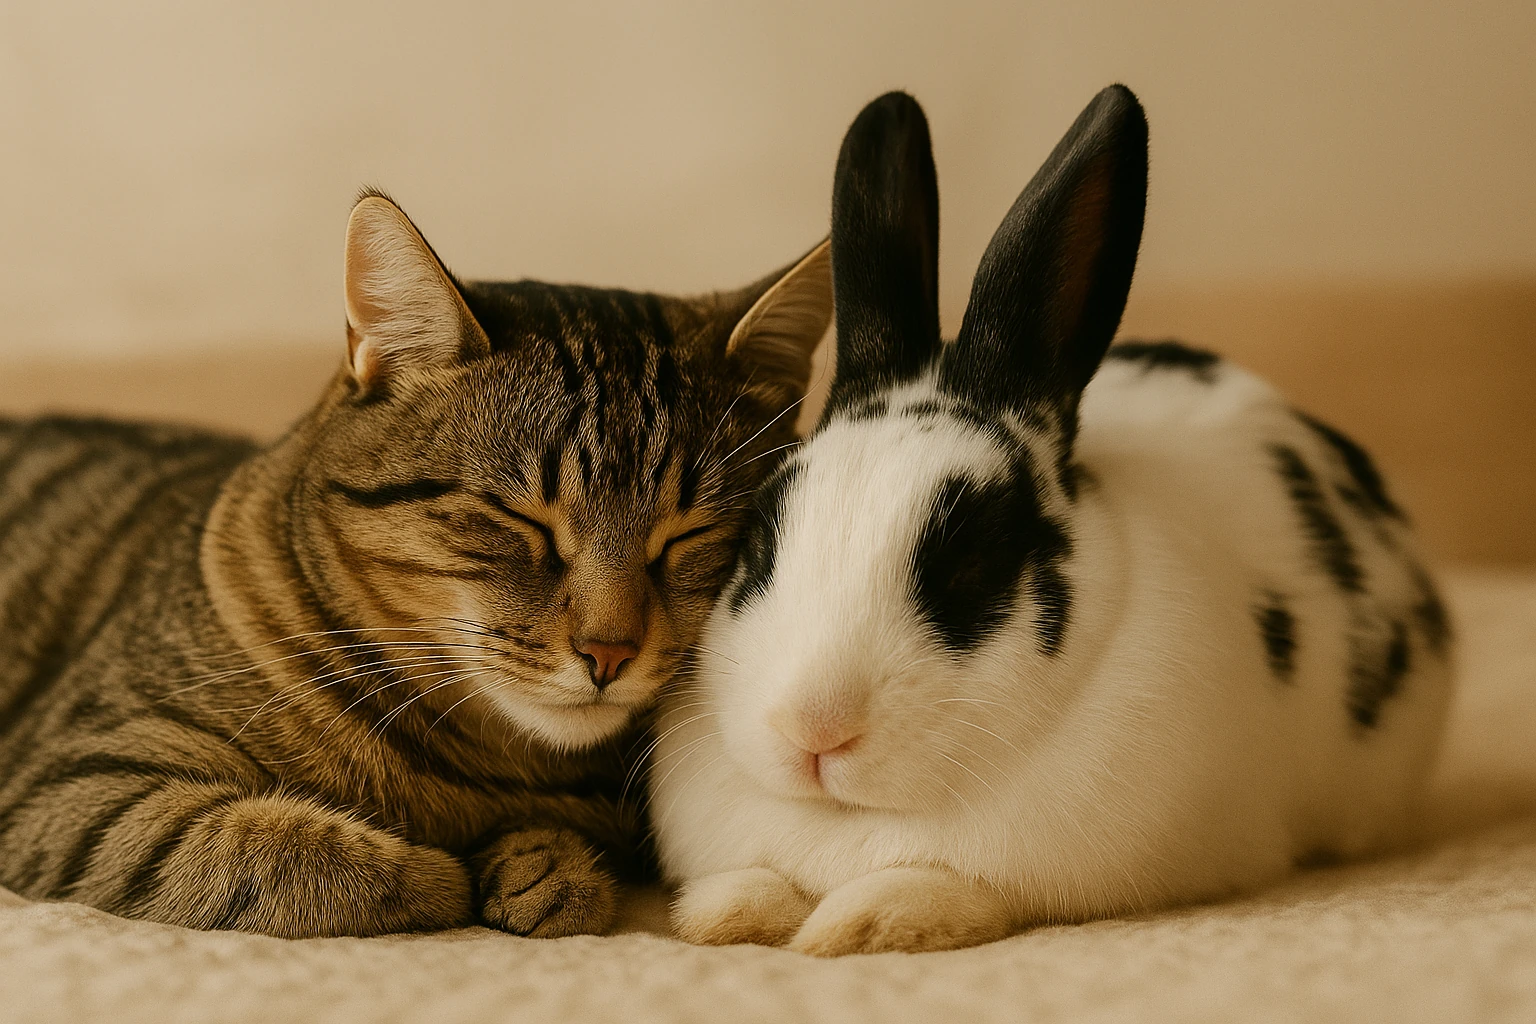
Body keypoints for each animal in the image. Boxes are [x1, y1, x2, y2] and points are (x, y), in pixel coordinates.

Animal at [647, 85, 1455, 957]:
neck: (849, 820)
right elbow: (752, 881)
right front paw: (728, 915)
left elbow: (950, 886)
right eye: (760, 544)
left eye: (970, 563)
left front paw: (859, 924)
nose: (813, 731)